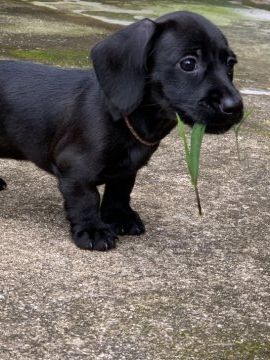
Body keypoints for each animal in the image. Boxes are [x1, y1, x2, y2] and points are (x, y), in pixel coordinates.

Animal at [0, 12, 244, 250]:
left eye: (231, 63)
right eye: (188, 63)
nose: (235, 106)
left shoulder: (127, 170)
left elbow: (120, 192)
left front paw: (119, 217)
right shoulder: (75, 170)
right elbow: (86, 200)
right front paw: (93, 230)